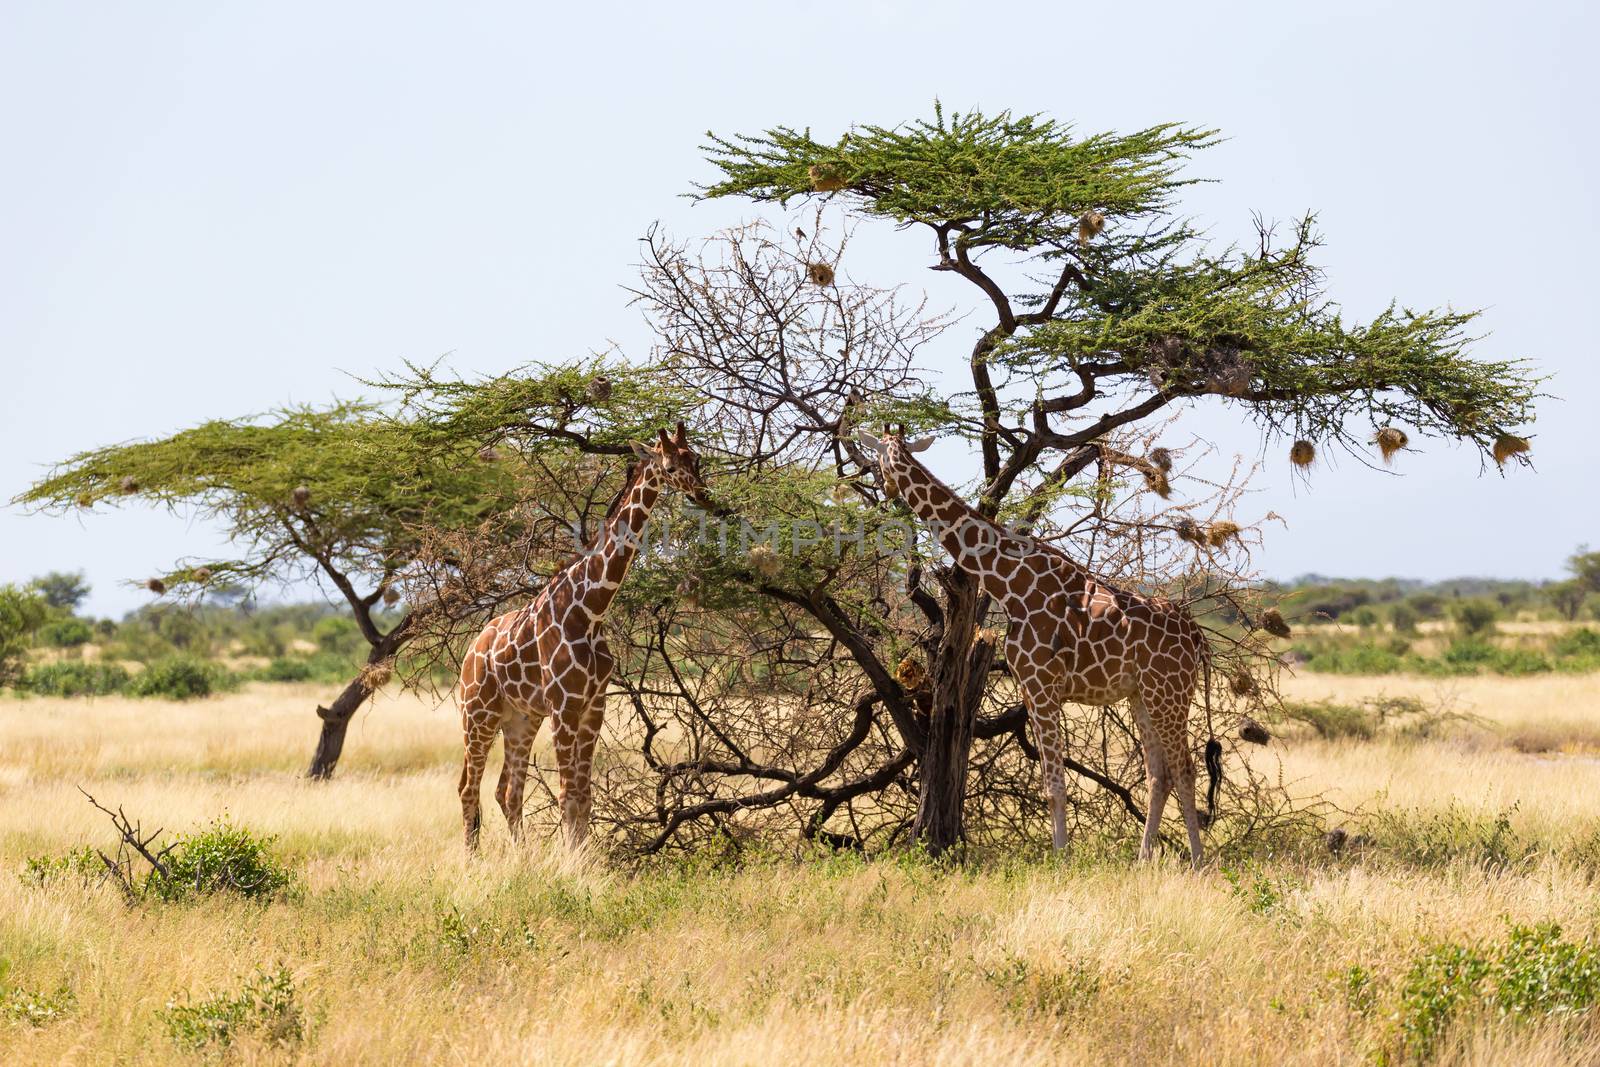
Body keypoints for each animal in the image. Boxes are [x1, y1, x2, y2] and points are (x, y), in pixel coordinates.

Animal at [464, 422, 713, 851]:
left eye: (695, 458)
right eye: (668, 464)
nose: (702, 495)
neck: (592, 610)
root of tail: (471, 648)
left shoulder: (593, 705)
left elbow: (584, 793)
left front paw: (582, 858)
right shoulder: (564, 706)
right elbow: (567, 793)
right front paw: (570, 860)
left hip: (520, 718)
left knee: (507, 790)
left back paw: (521, 857)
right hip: (477, 712)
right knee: (468, 786)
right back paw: (472, 859)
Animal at [864, 425, 1209, 870]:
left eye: (881, 460)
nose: (887, 486)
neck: (1009, 583)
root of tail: (1196, 634)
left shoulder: (1043, 686)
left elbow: (1055, 785)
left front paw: (1061, 859)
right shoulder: (1029, 689)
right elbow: (1051, 780)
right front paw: (1062, 855)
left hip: (1170, 692)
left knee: (1185, 769)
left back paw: (1199, 863)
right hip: (1141, 695)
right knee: (1159, 774)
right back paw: (1141, 861)